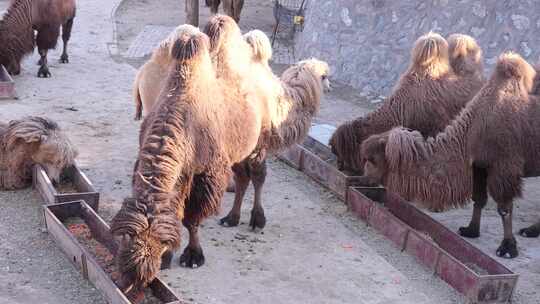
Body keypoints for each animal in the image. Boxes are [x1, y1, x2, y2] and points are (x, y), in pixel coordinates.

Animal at [109, 24, 330, 292]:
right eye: (124, 252)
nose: (128, 285)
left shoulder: (205, 173)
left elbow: (192, 218)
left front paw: (193, 256)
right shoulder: (180, 171)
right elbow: (177, 209)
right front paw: (170, 255)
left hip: (258, 142)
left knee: (257, 176)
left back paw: (256, 219)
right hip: (238, 148)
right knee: (243, 177)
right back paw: (231, 218)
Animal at [358, 51, 540, 258]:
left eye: (372, 160)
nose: (363, 179)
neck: (472, 131)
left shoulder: (504, 166)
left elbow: (504, 209)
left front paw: (507, 248)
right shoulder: (479, 165)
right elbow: (478, 198)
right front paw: (470, 230)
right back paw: (531, 231)